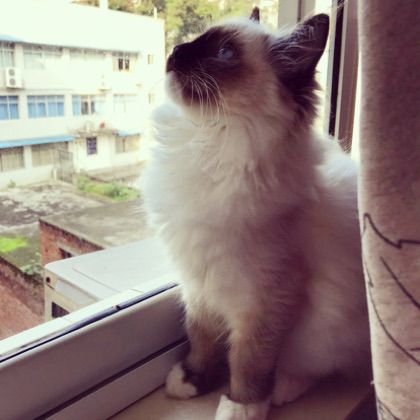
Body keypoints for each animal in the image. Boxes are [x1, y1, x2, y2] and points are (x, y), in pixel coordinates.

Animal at [142, 11, 370, 420]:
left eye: (224, 53)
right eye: (197, 41)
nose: (177, 51)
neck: (210, 146)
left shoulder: (264, 299)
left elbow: (248, 361)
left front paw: (240, 406)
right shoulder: (199, 282)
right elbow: (201, 338)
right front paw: (192, 380)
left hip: (329, 330)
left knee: (311, 367)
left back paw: (281, 390)